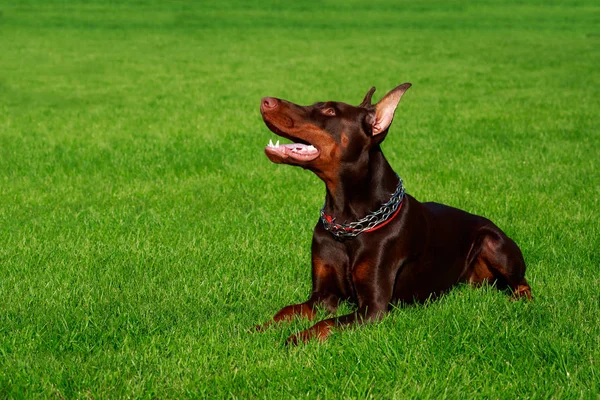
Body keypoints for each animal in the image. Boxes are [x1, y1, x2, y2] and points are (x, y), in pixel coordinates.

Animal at [255, 83, 532, 344]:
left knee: (523, 283)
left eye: (330, 111)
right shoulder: (323, 296)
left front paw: (295, 339)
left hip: (492, 241)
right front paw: (258, 330)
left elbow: (327, 323)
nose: (265, 100)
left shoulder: (373, 308)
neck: (348, 222)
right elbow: (287, 311)